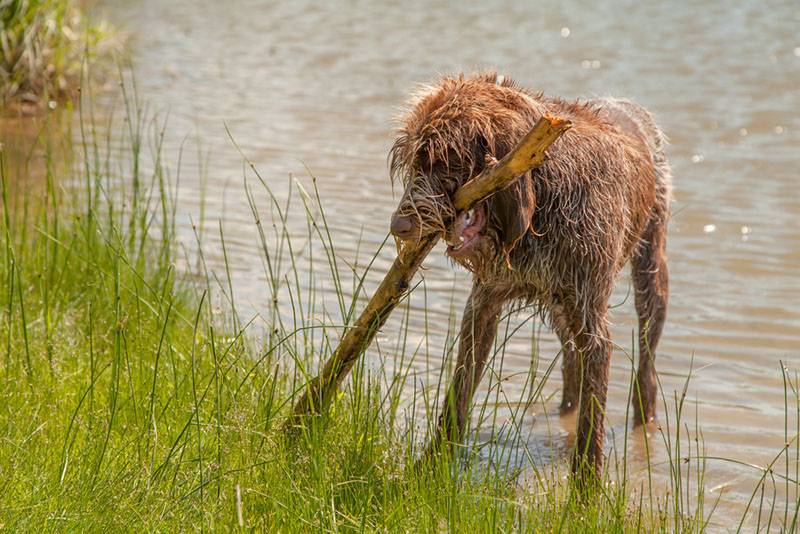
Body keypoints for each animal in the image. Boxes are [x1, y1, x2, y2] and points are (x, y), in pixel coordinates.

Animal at [388, 72, 668, 478]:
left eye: (442, 160)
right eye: (414, 162)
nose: (400, 226)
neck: (541, 200)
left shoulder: (591, 317)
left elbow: (592, 424)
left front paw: (586, 490)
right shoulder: (483, 306)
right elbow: (458, 393)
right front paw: (431, 465)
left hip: (650, 270)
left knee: (645, 358)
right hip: (562, 308)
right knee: (571, 366)